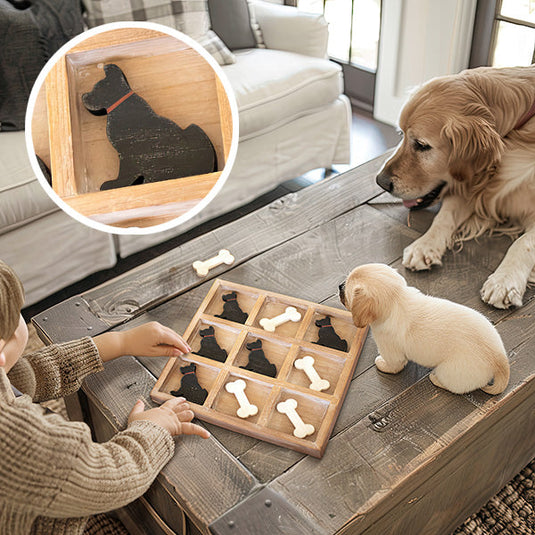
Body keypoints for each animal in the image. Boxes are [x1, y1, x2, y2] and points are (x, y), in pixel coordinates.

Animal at [340, 264, 510, 396]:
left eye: (346, 291)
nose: (340, 285)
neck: (396, 300)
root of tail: (500, 360)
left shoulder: (391, 353)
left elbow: (392, 365)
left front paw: (381, 363)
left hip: (448, 372)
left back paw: (435, 379)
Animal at [376, 66, 535, 310]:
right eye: (401, 134)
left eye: (422, 145)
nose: (381, 182)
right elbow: (444, 216)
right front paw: (425, 245)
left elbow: (523, 242)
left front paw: (504, 281)